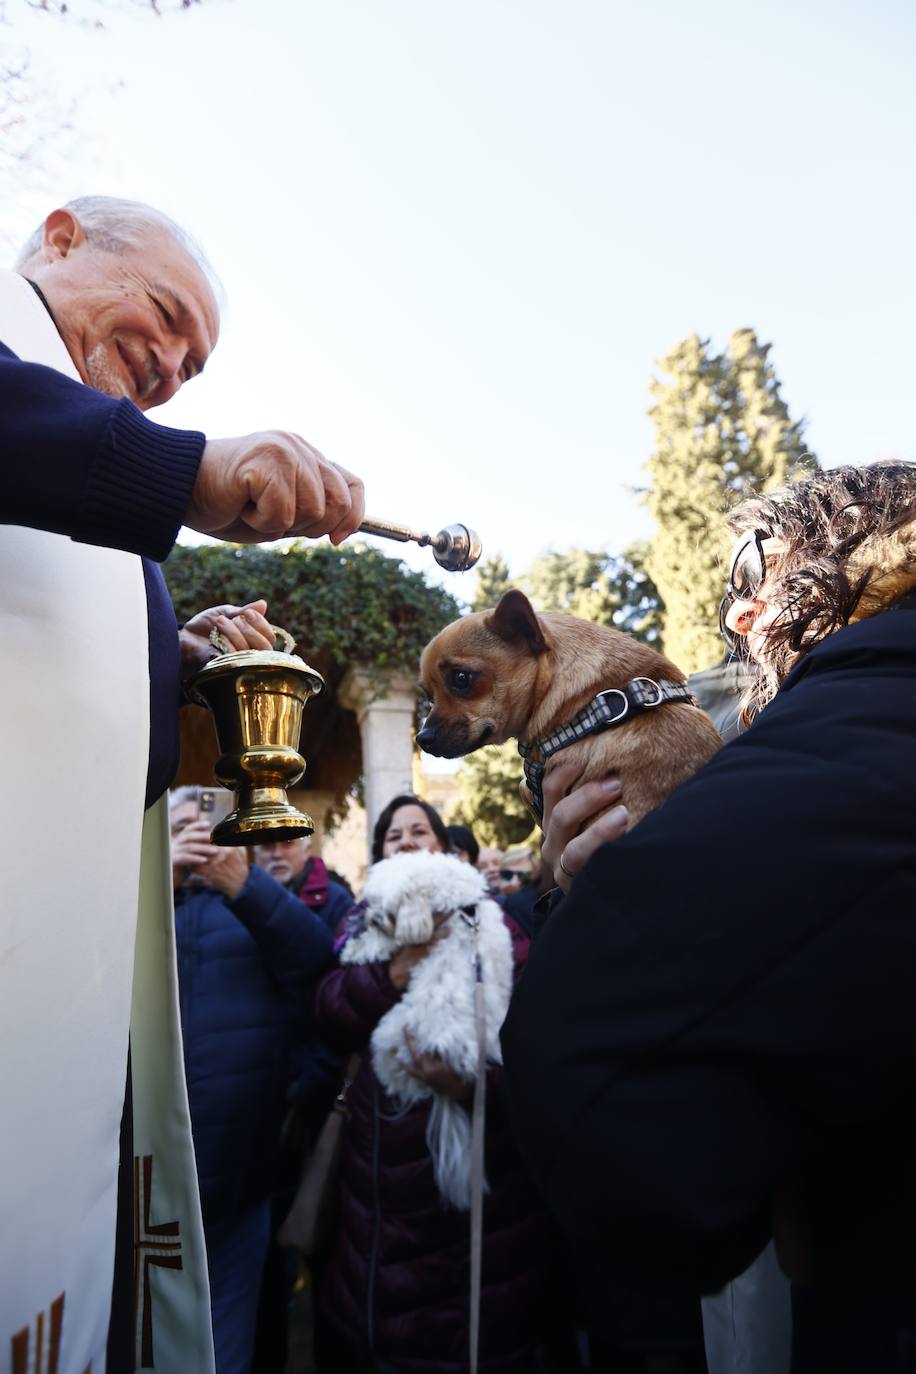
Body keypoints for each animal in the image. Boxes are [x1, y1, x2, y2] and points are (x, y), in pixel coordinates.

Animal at [343, 851, 516, 1209]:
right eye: (372, 902)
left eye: (388, 910)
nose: (373, 918)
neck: (463, 907)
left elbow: (388, 944)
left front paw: (355, 948)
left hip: (388, 1032)